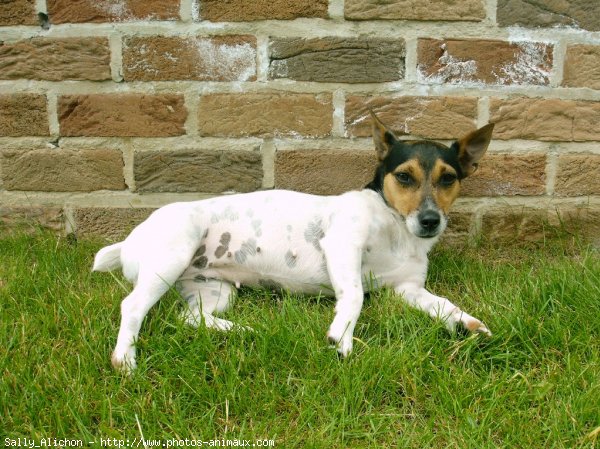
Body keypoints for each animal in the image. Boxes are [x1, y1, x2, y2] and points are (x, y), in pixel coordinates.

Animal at [94, 112, 494, 372]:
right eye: (404, 177)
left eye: (448, 178)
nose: (430, 221)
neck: (395, 226)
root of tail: (130, 239)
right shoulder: (342, 245)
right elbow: (354, 297)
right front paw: (341, 337)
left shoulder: (407, 289)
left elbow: (444, 305)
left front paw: (468, 324)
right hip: (171, 257)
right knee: (132, 307)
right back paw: (124, 359)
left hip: (213, 289)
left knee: (190, 319)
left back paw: (241, 331)